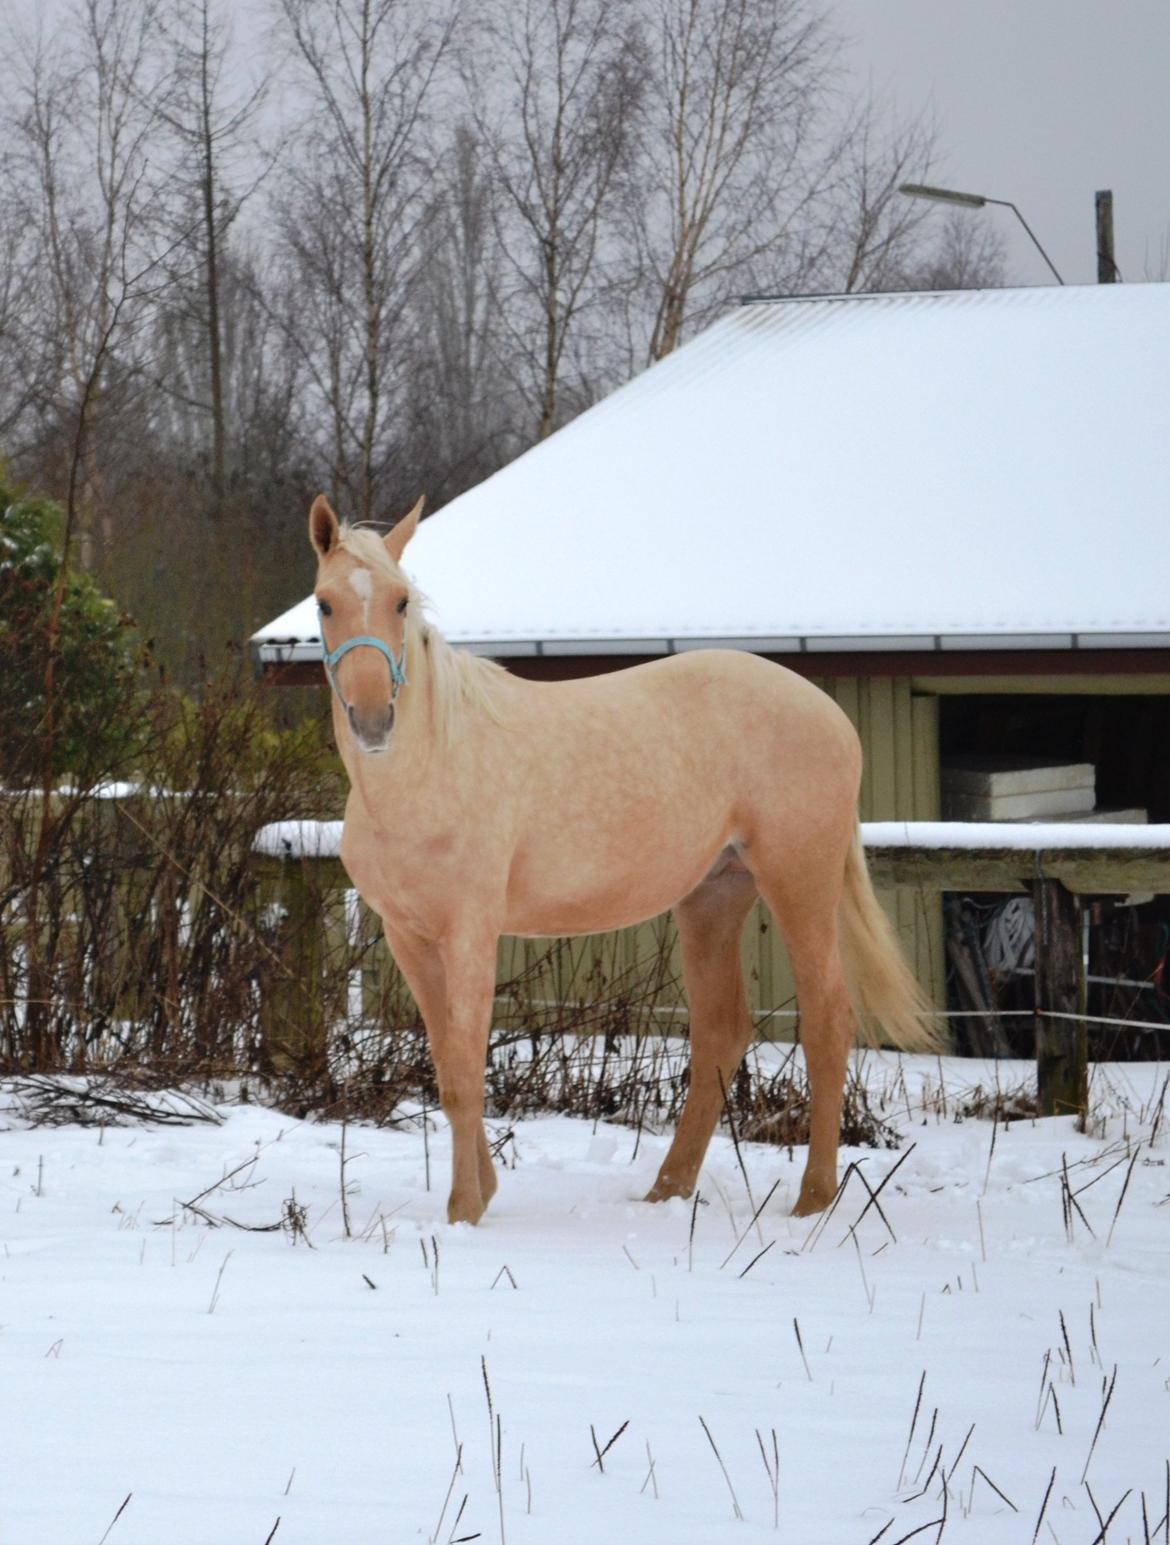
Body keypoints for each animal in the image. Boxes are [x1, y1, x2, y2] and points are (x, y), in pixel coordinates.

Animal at [306, 494, 933, 1217]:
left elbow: (464, 1071)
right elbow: (445, 1067)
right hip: (714, 895)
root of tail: (831, 714)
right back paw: (667, 1189)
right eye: (325, 604)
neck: (429, 766)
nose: (373, 717)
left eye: (401, 601)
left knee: (828, 1020)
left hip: (797, 879)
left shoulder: (470, 933)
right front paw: (482, 1191)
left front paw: (465, 1210)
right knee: (721, 1031)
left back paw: (812, 1198)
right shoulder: (407, 936)